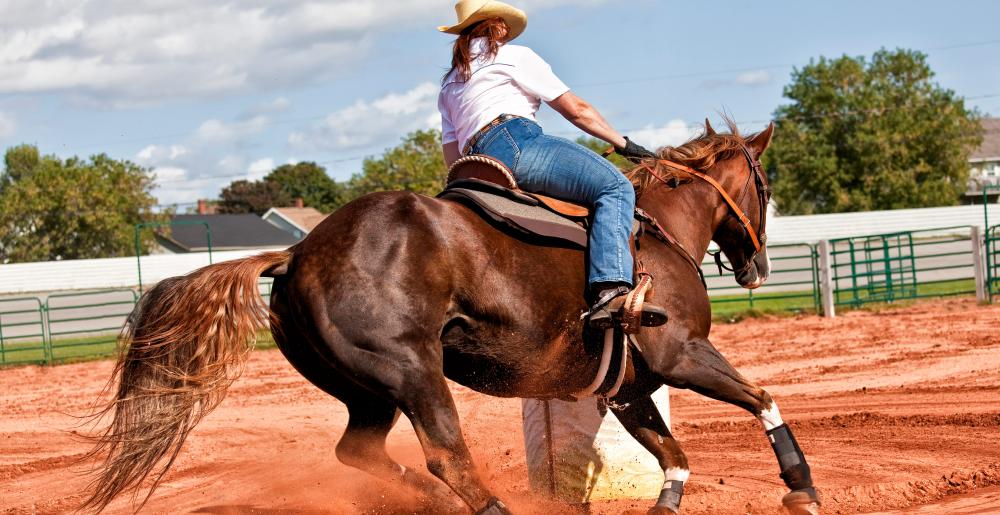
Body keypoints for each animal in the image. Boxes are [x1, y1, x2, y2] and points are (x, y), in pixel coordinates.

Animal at [86, 122, 820, 515]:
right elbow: (762, 397)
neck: (656, 232)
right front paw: (801, 488)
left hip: (368, 391)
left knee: (362, 452)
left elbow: (674, 455)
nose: (757, 266)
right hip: (414, 373)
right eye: (765, 183)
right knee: (448, 456)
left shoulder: (630, 389)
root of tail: (295, 252)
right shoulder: (682, 355)